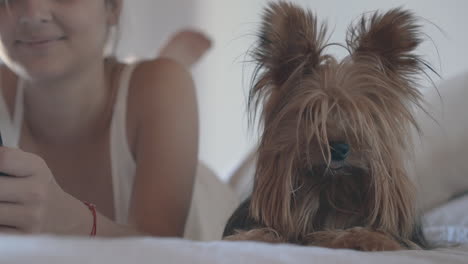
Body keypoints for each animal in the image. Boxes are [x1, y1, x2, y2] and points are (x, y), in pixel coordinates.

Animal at [223, 0, 436, 252]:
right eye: (310, 114)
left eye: (360, 116)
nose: (338, 148)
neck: (331, 190)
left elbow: (380, 238)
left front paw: (356, 238)